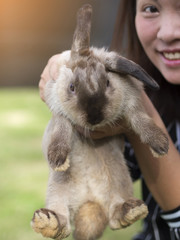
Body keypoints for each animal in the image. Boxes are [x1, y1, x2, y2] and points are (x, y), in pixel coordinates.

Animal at [31, 3, 169, 240]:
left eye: (107, 82)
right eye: (72, 87)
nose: (94, 116)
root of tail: (89, 200)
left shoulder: (133, 103)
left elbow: (142, 121)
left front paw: (160, 145)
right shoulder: (59, 111)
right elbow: (60, 130)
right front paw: (59, 160)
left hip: (120, 182)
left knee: (115, 217)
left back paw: (131, 210)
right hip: (57, 190)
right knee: (63, 223)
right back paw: (48, 220)